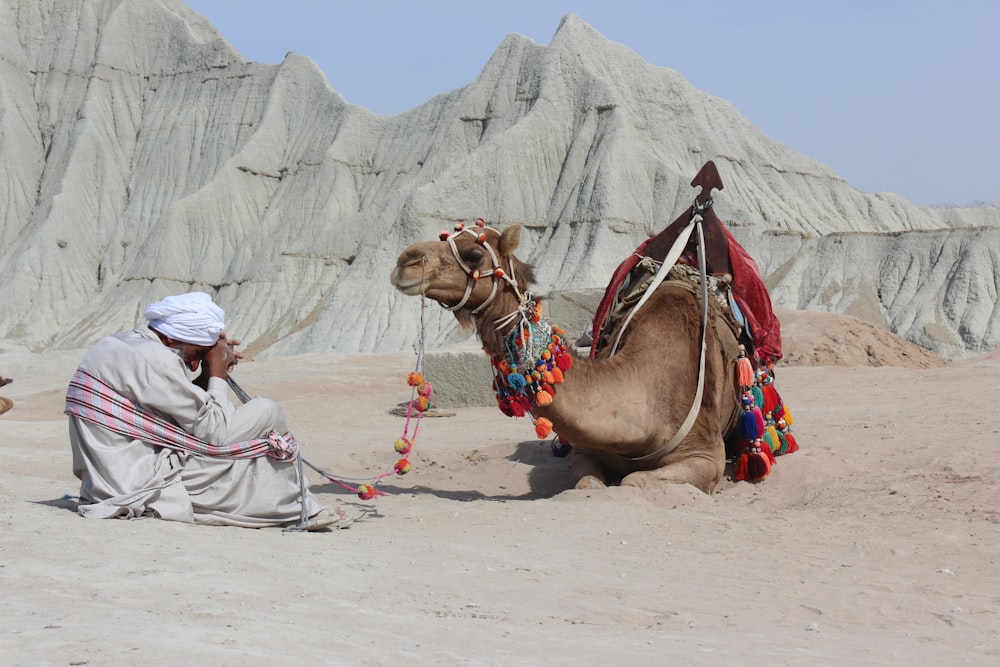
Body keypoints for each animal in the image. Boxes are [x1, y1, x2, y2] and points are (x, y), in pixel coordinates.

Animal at [392, 164, 796, 494]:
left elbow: (633, 481)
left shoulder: (705, 455)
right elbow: (588, 484)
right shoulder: (588, 451)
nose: (404, 261)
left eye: (474, 254)